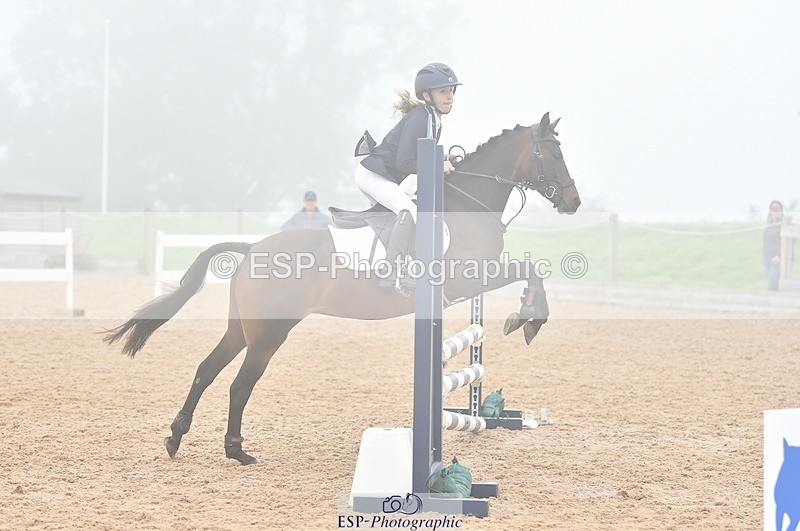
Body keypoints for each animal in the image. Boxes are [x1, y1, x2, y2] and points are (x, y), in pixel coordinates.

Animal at [103, 112, 581, 465]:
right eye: (552, 153)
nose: (574, 202)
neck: (466, 203)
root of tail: (253, 246)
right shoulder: (470, 277)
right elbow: (529, 269)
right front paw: (527, 320)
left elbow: (528, 268)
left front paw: (524, 318)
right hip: (270, 333)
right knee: (239, 385)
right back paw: (237, 452)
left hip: (242, 329)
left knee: (206, 370)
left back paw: (175, 437)